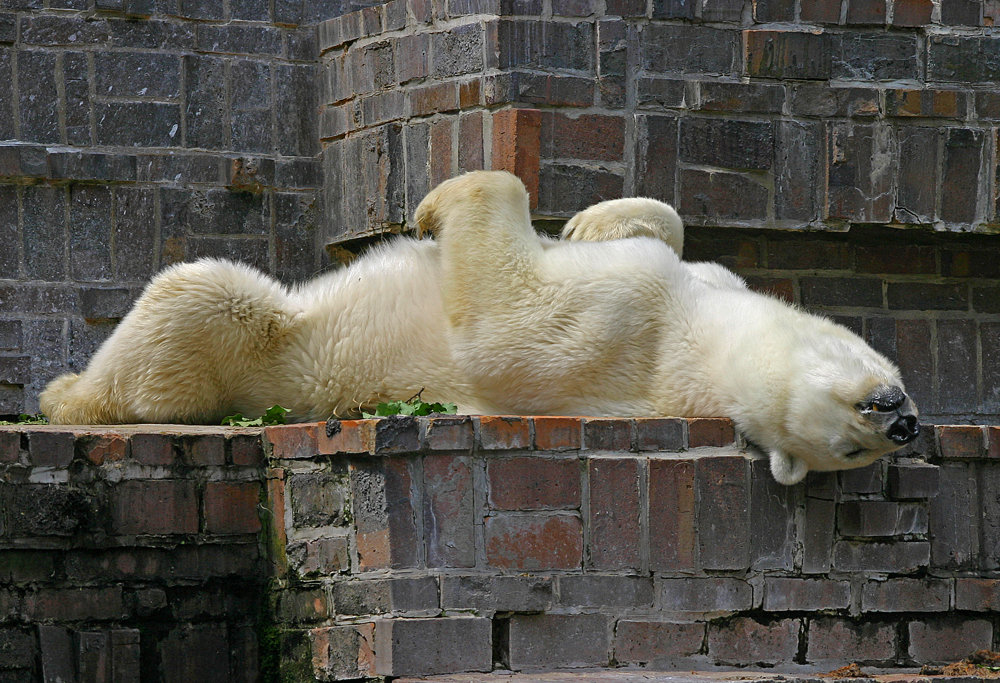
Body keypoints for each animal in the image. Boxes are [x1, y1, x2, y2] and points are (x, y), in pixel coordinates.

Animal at [39, 172, 916, 486]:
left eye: (844, 449)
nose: (902, 422)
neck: (705, 336)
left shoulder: (620, 324)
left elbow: (502, 321)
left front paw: (437, 203)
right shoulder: (692, 288)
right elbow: (661, 231)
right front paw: (595, 220)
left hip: (256, 350)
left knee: (203, 297)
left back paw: (67, 392)